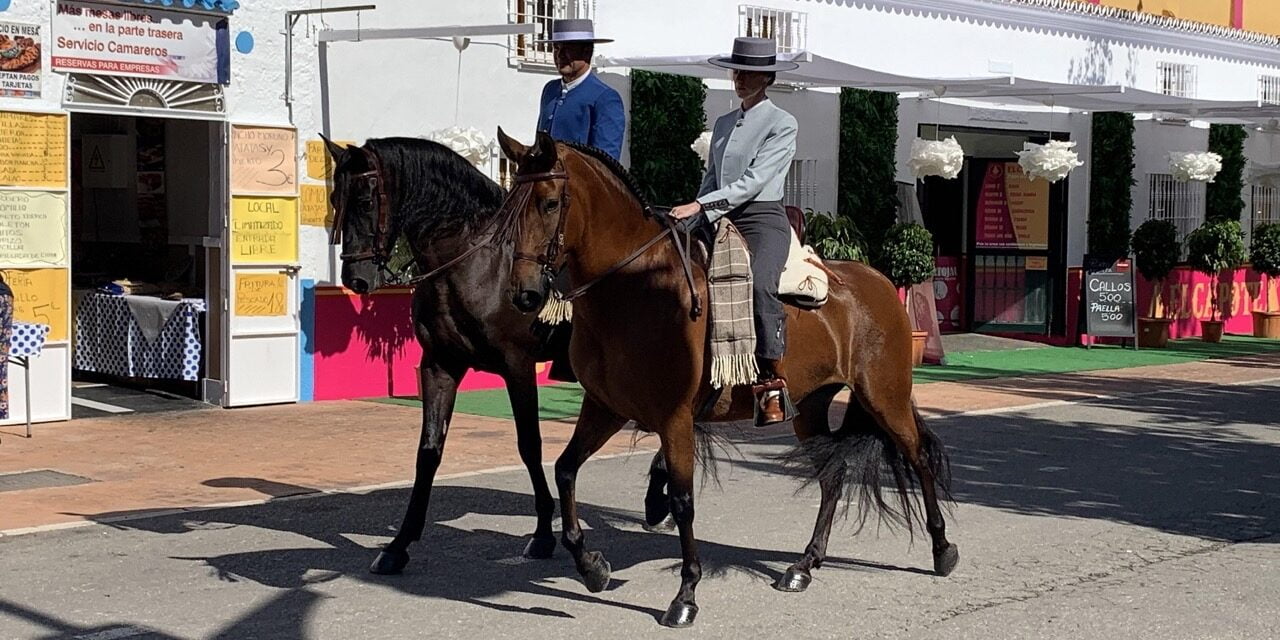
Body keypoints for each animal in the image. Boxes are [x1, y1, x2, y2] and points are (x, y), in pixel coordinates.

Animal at [499, 128, 962, 624]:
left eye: (549, 202)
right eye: (510, 202)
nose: (523, 293)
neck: (637, 288)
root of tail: (879, 281)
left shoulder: (675, 418)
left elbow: (684, 502)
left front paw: (685, 595)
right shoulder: (605, 407)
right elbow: (566, 470)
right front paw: (591, 567)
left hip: (884, 398)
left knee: (918, 458)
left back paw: (942, 550)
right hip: (809, 408)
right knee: (832, 476)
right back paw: (804, 565)